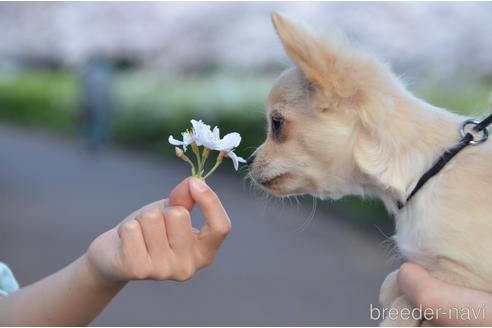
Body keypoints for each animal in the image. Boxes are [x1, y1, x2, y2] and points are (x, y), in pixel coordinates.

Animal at [250, 12, 492, 326]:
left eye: (276, 124)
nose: (248, 160)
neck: (423, 173)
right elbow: (393, 281)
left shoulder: (465, 275)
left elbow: (404, 299)